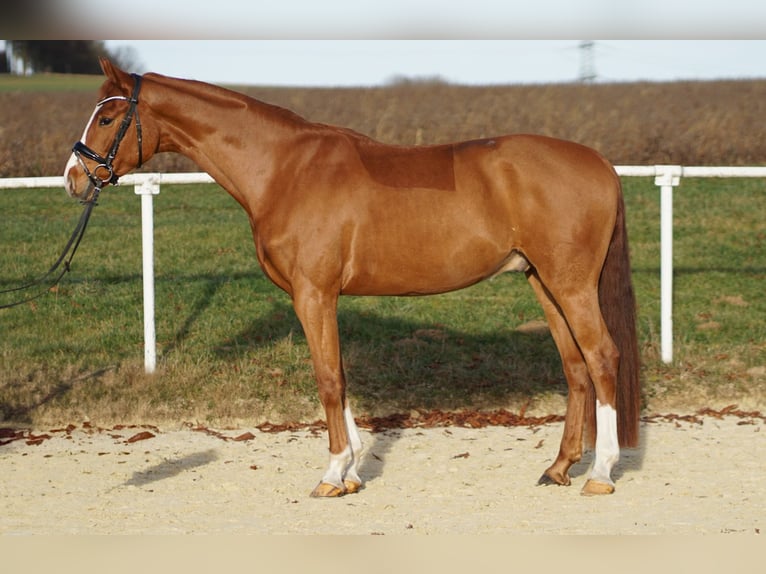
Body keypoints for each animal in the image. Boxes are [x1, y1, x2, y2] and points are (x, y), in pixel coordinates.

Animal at [65, 58, 640, 497]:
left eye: (108, 117)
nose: (75, 179)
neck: (285, 169)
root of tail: (599, 162)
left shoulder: (313, 294)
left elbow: (328, 378)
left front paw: (333, 473)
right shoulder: (322, 298)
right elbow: (338, 374)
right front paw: (355, 470)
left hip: (570, 286)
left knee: (602, 357)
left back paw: (601, 474)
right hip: (543, 282)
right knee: (576, 367)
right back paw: (559, 467)